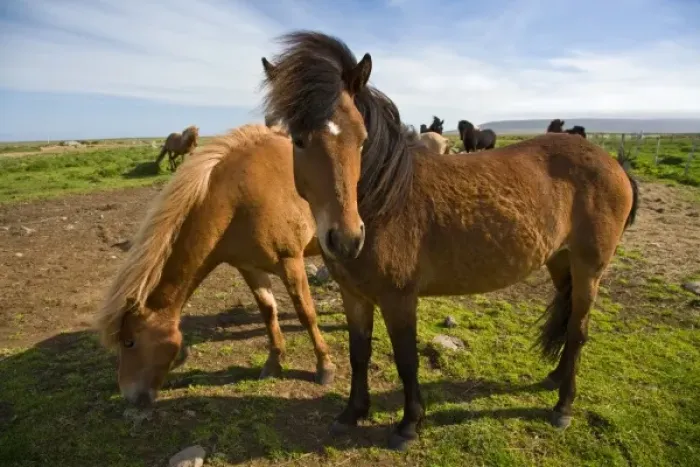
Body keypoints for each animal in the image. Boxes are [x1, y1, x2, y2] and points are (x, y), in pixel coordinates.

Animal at [95, 123, 337, 407]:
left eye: (130, 342)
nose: (129, 395)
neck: (239, 197)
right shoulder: (249, 268)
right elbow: (268, 313)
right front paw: (274, 363)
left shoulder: (291, 262)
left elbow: (306, 314)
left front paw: (325, 366)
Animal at [260, 31, 639, 451]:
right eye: (297, 139)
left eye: (361, 139)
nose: (346, 238)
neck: (385, 201)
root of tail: (613, 164)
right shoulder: (354, 295)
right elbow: (359, 352)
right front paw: (351, 414)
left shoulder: (399, 298)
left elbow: (406, 359)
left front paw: (408, 424)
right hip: (561, 260)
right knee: (570, 318)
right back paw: (556, 377)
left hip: (590, 267)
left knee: (578, 330)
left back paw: (563, 406)